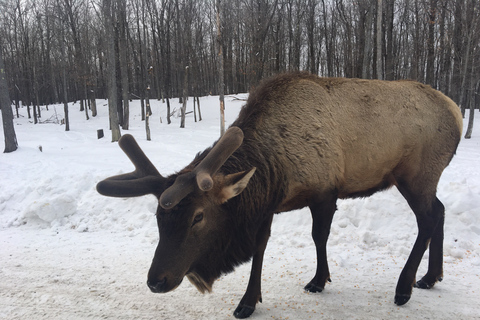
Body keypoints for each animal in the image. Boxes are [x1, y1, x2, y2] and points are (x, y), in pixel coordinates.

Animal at [96, 72, 462, 318]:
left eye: (198, 216)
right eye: (158, 216)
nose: (156, 281)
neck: (277, 166)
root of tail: (457, 112)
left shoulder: (324, 192)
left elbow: (318, 236)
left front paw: (318, 280)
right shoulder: (269, 203)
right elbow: (261, 246)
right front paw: (249, 301)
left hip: (416, 175)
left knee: (428, 219)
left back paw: (404, 287)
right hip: (426, 179)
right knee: (442, 210)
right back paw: (431, 277)